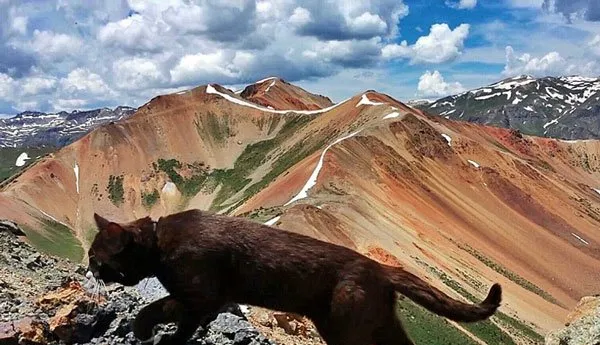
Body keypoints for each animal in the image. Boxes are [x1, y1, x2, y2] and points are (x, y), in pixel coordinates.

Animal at [88, 208, 502, 344]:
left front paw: (145, 331)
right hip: (375, 323)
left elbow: (160, 310)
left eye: (95, 256)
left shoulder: (201, 297)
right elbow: (177, 320)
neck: (159, 247)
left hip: (346, 326)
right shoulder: (204, 302)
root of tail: (380, 267)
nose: (90, 268)